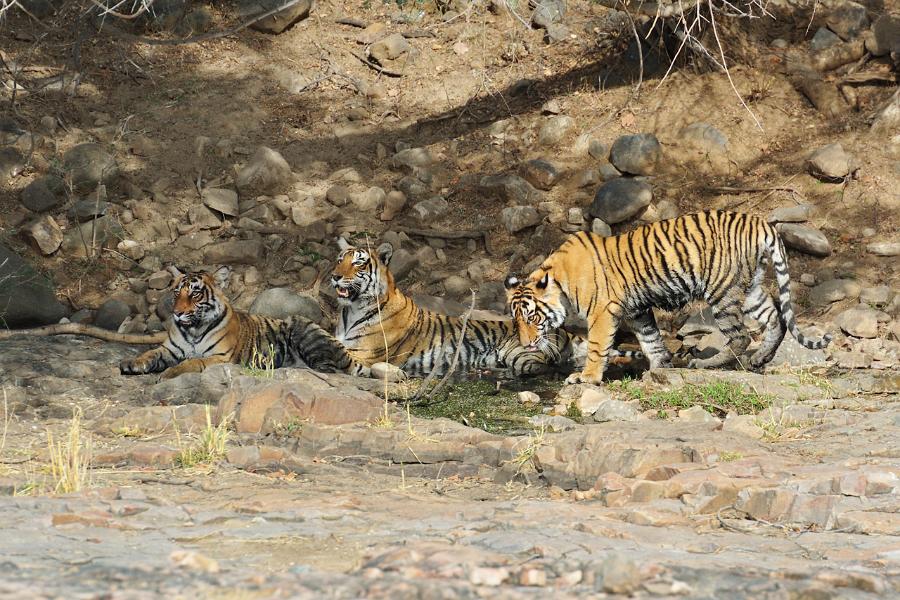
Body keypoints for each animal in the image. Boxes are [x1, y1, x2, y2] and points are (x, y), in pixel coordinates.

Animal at [330, 238, 640, 376]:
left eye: (358, 262)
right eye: (339, 259)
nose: (334, 276)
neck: (350, 310)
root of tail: (562, 329)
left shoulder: (364, 352)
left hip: (521, 354)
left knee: (542, 368)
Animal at [502, 210, 832, 384]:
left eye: (532, 317)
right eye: (516, 322)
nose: (527, 343)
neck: (561, 281)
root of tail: (759, 222)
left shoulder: (603, 312)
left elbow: (597, 347)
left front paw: (587, 377)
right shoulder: (636, 311)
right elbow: (651, 340)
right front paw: (660, 368)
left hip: (721, 291)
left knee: (740, 335)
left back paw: (707, 364)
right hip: (749, 288)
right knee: (775, 317)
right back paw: (760, 358)